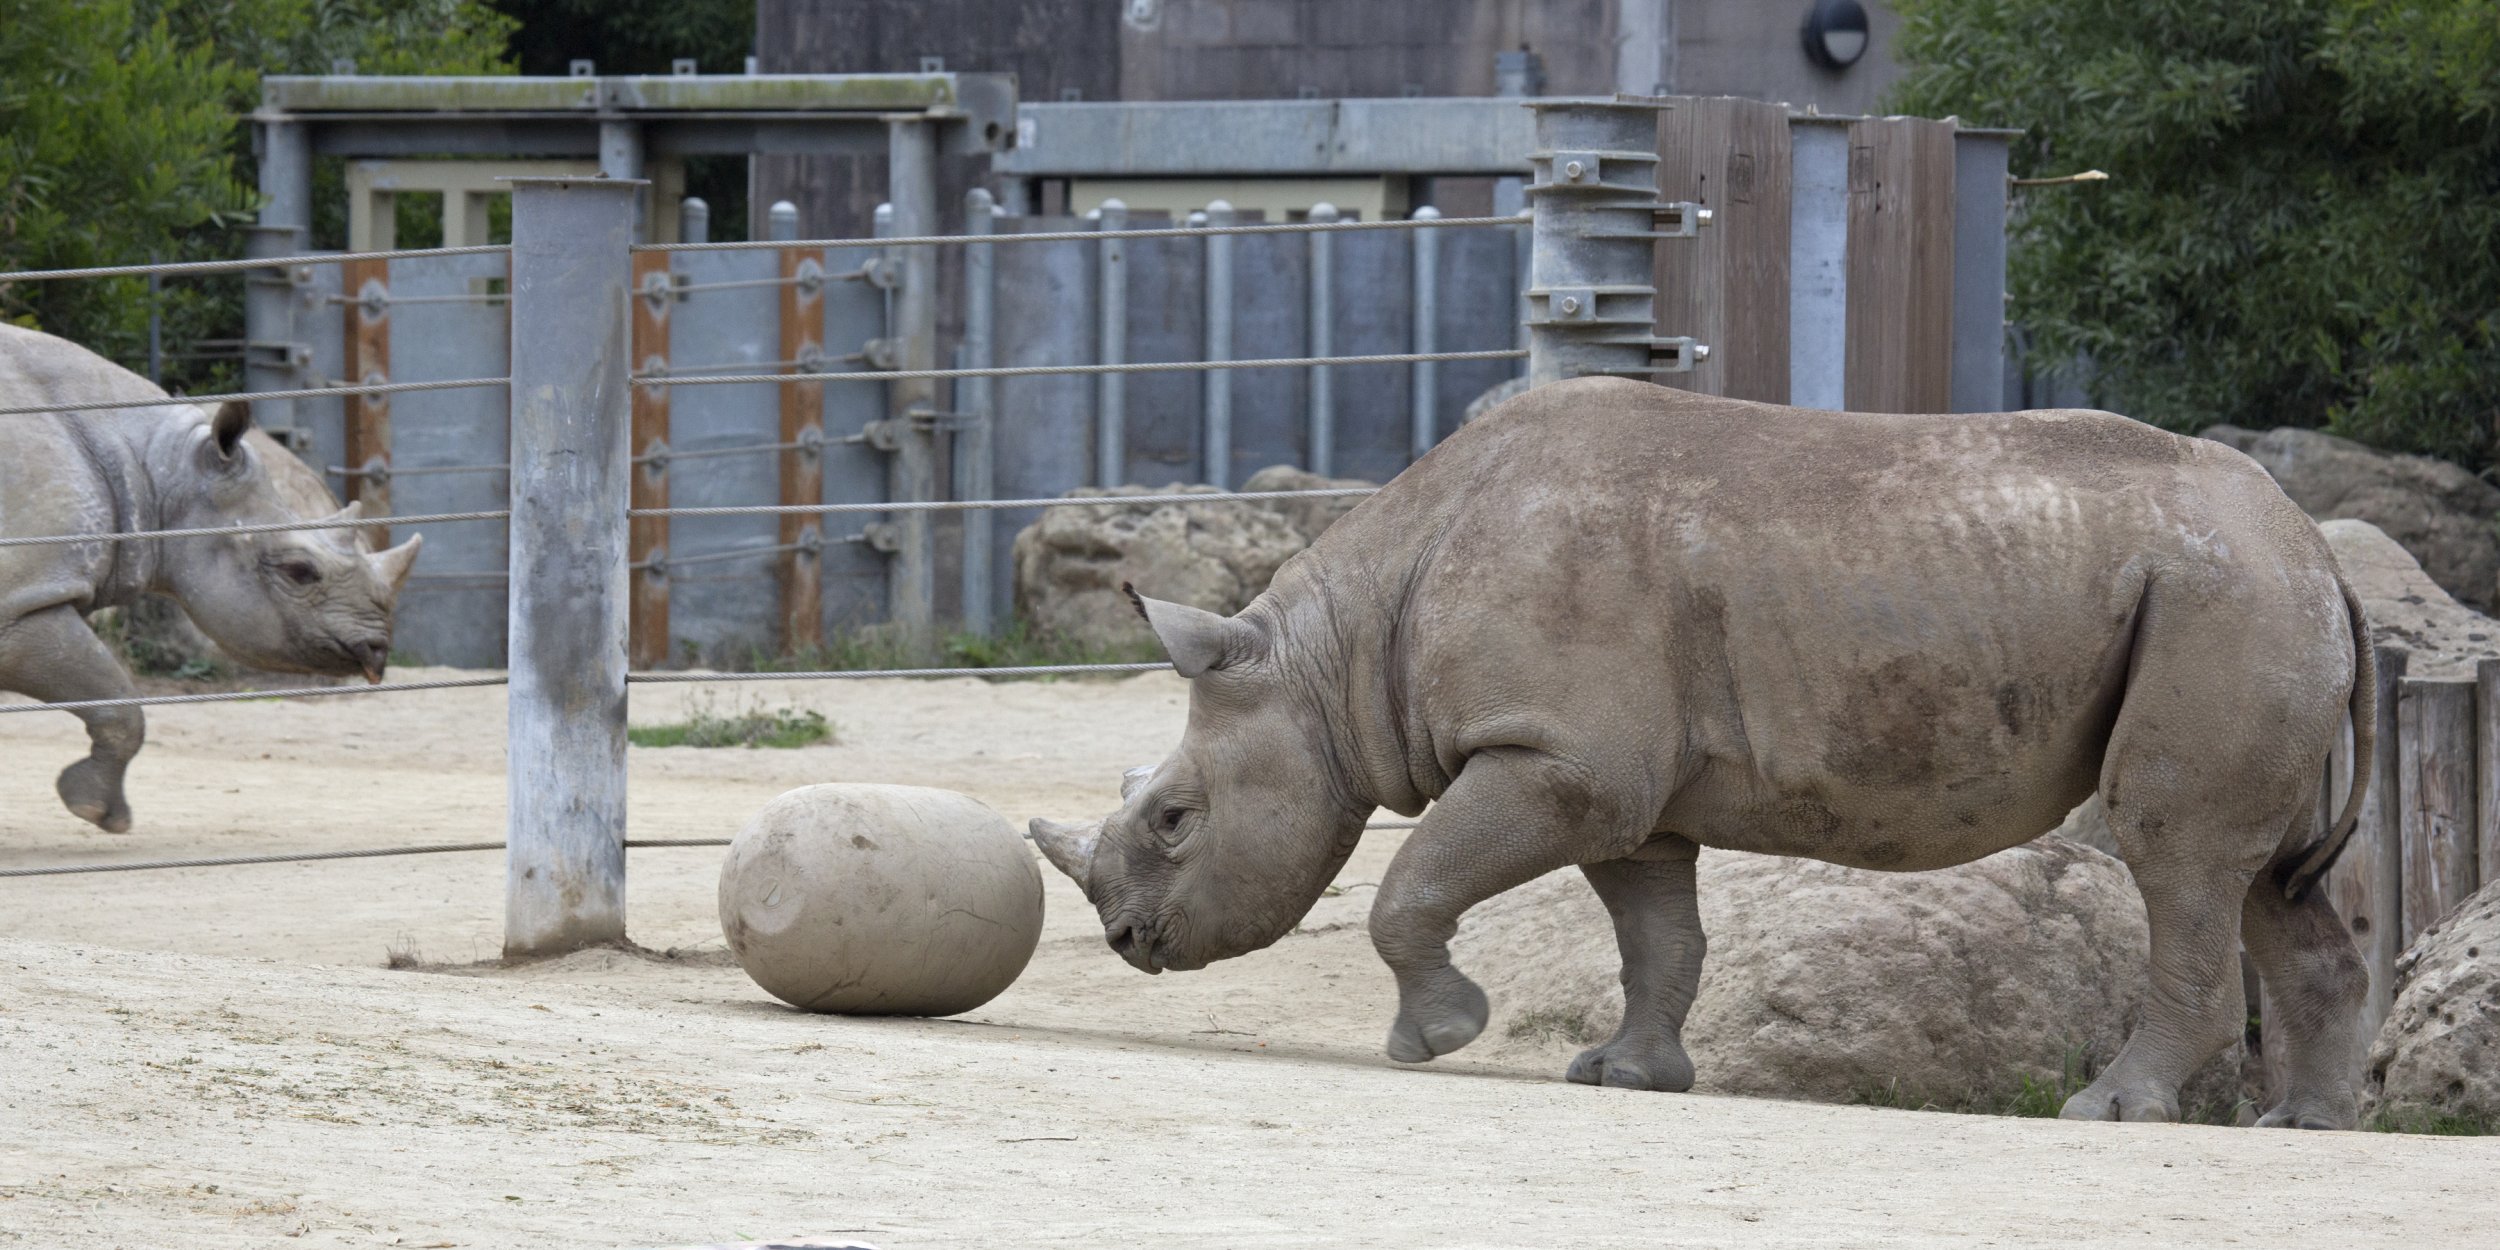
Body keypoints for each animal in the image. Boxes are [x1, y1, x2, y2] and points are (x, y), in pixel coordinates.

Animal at [0, 323, 421, 831]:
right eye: (299, 572)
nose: (379, 651)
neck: (157, 469)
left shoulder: (33, 592)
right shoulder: (22, 603)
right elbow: (118, 698)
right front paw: (99, 813)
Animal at [1032, 378, 2375, 1130]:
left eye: (1172, 817)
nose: (1128, 940)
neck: (1335, 659)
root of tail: (2315, 543)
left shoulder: (1559, 755)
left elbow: (1411, 884)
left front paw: (1437, 1040)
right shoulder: (1621, 786)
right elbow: (1655, 934)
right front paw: (1620, 1075)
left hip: (2223, 599)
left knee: (2176, 854)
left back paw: (2109, 1108)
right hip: (2245, 600)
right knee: (2262, 877)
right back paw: (2304, 1125)